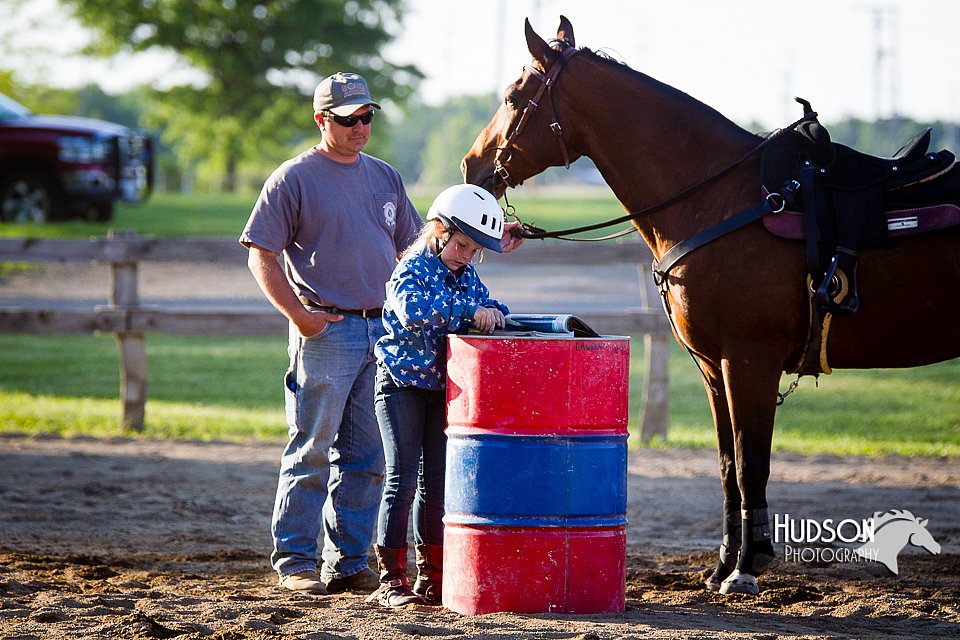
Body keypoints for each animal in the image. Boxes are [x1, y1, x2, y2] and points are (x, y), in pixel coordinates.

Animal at [462, 15, 956, 596]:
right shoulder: (714, 368)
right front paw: (722, 565)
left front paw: (745, 568)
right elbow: (725, 466)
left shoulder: (750, 361)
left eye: (515, 96)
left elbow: (749, 464)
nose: (472, 166)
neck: (723, 201)